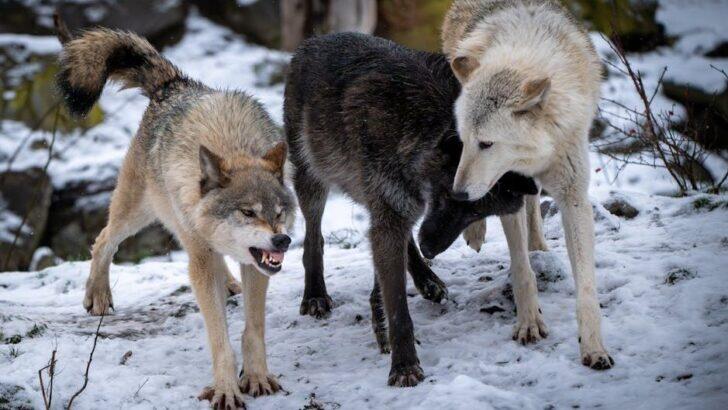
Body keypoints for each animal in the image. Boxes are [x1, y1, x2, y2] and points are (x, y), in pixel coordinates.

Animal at [56, 25, 295, 408]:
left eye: (279, 212)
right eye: (247, 212)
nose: (282, 240)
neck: (232, 144)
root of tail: (174, 83)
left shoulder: (256, 264)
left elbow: (253, 329)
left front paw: (256, 377)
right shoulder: (203, 255)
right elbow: (220, 338)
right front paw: (226, 388)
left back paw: (228, 283)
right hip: (140, 211)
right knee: (103, 240)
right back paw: (99, 296)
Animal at [284, 32, 537, 386]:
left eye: (476, 214)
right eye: (450, 197)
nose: (431, 248)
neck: (419, 125)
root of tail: (315, 40)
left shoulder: (397, 211)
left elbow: (389, 280)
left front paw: (384, 321)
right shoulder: (390, 214)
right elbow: (398, 307)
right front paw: (403, 365)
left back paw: (427, 279)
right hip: (313, 180)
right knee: (313, 237)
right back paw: (315, 295)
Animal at [441, 0, 614, 369]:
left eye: (487, 144)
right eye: (465, 141)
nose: (458, 194)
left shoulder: (574, 196)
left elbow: (586, 287)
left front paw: (594, 347)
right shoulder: (508, 191)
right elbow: (521, 269)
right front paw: (529, 322)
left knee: (535, 211)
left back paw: (539, 245)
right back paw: (477, 232)